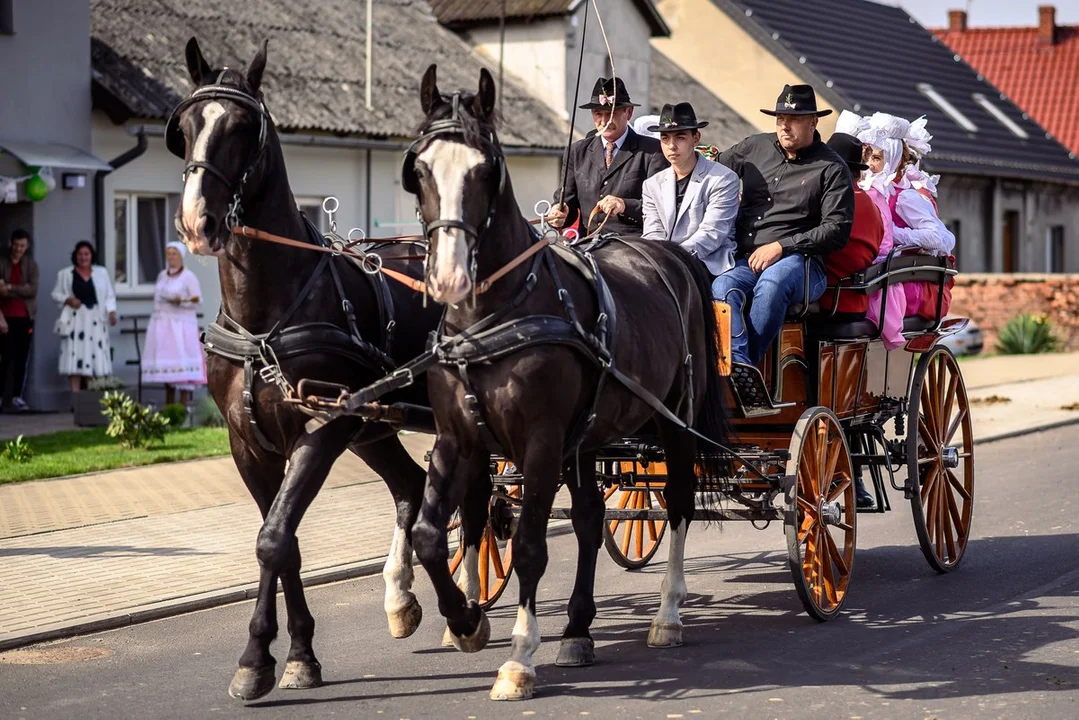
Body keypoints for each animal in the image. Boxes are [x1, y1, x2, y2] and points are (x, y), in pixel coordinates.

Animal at [169, 39, 494, 703]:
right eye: (185, 127)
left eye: (240, 128)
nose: (196, 222)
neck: (267, 317)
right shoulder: (249, 444)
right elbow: (281, 541)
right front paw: (293, 654)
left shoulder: (320, 432)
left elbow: (273, 539)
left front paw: (258, 658)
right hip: (374, 425)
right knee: (412, 488)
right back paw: (404, 600)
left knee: (475, 502)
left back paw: (469, 609)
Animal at [405, 66, 733, 699]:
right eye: (421, 171)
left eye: (485, 170)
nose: (449, 277)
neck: (492, 316)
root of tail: (671, 255)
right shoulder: (459, 438)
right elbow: (432, 534)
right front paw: (465, 622)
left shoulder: (539, 443)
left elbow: (531, 547)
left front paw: (518, 659)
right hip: (589, 436)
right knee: (588, 520)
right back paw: (579, 628)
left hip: (673, 422)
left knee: (679, 502)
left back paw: (667, 615)